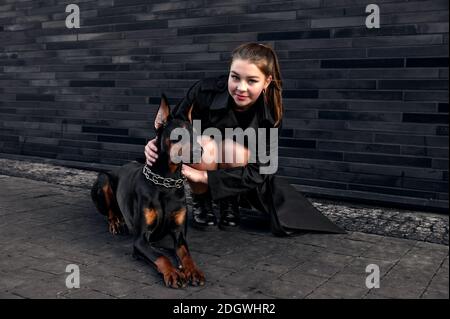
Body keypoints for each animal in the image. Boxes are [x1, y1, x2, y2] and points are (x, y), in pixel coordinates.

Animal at [91, 95, 204, 290]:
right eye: (178, 136)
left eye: (195, 135)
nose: (200, 151)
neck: (166, 182)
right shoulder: (141, 239)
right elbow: (161, 256)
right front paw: (173, 273)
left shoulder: (179, 234)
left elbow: (185, 254)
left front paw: (193, 270)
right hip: (103, 180)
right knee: (110, 209)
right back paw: (115, 222)